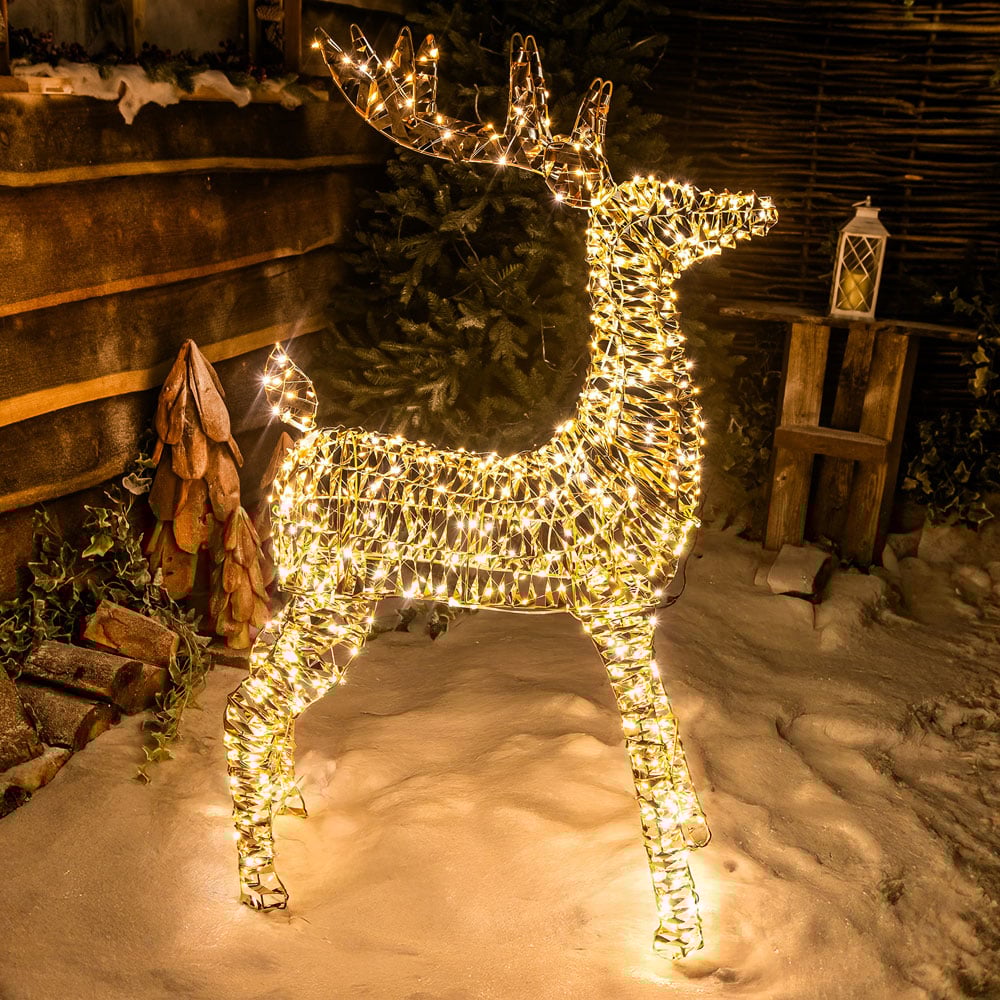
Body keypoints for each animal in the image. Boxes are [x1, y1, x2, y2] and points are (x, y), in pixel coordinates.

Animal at [223, 24, 777, 959]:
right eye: (673, 199)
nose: (761, 207)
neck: (623, 447)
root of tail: (301, 434)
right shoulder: (613, 612)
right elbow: (646, 759)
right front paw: (680, 932)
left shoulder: (645, 614)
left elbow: (666, 738)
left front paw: (698, 838)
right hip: (329, 598)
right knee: (243, 706)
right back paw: (260, 888)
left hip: (329, 602)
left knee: (265, 695)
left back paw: (286, 806)